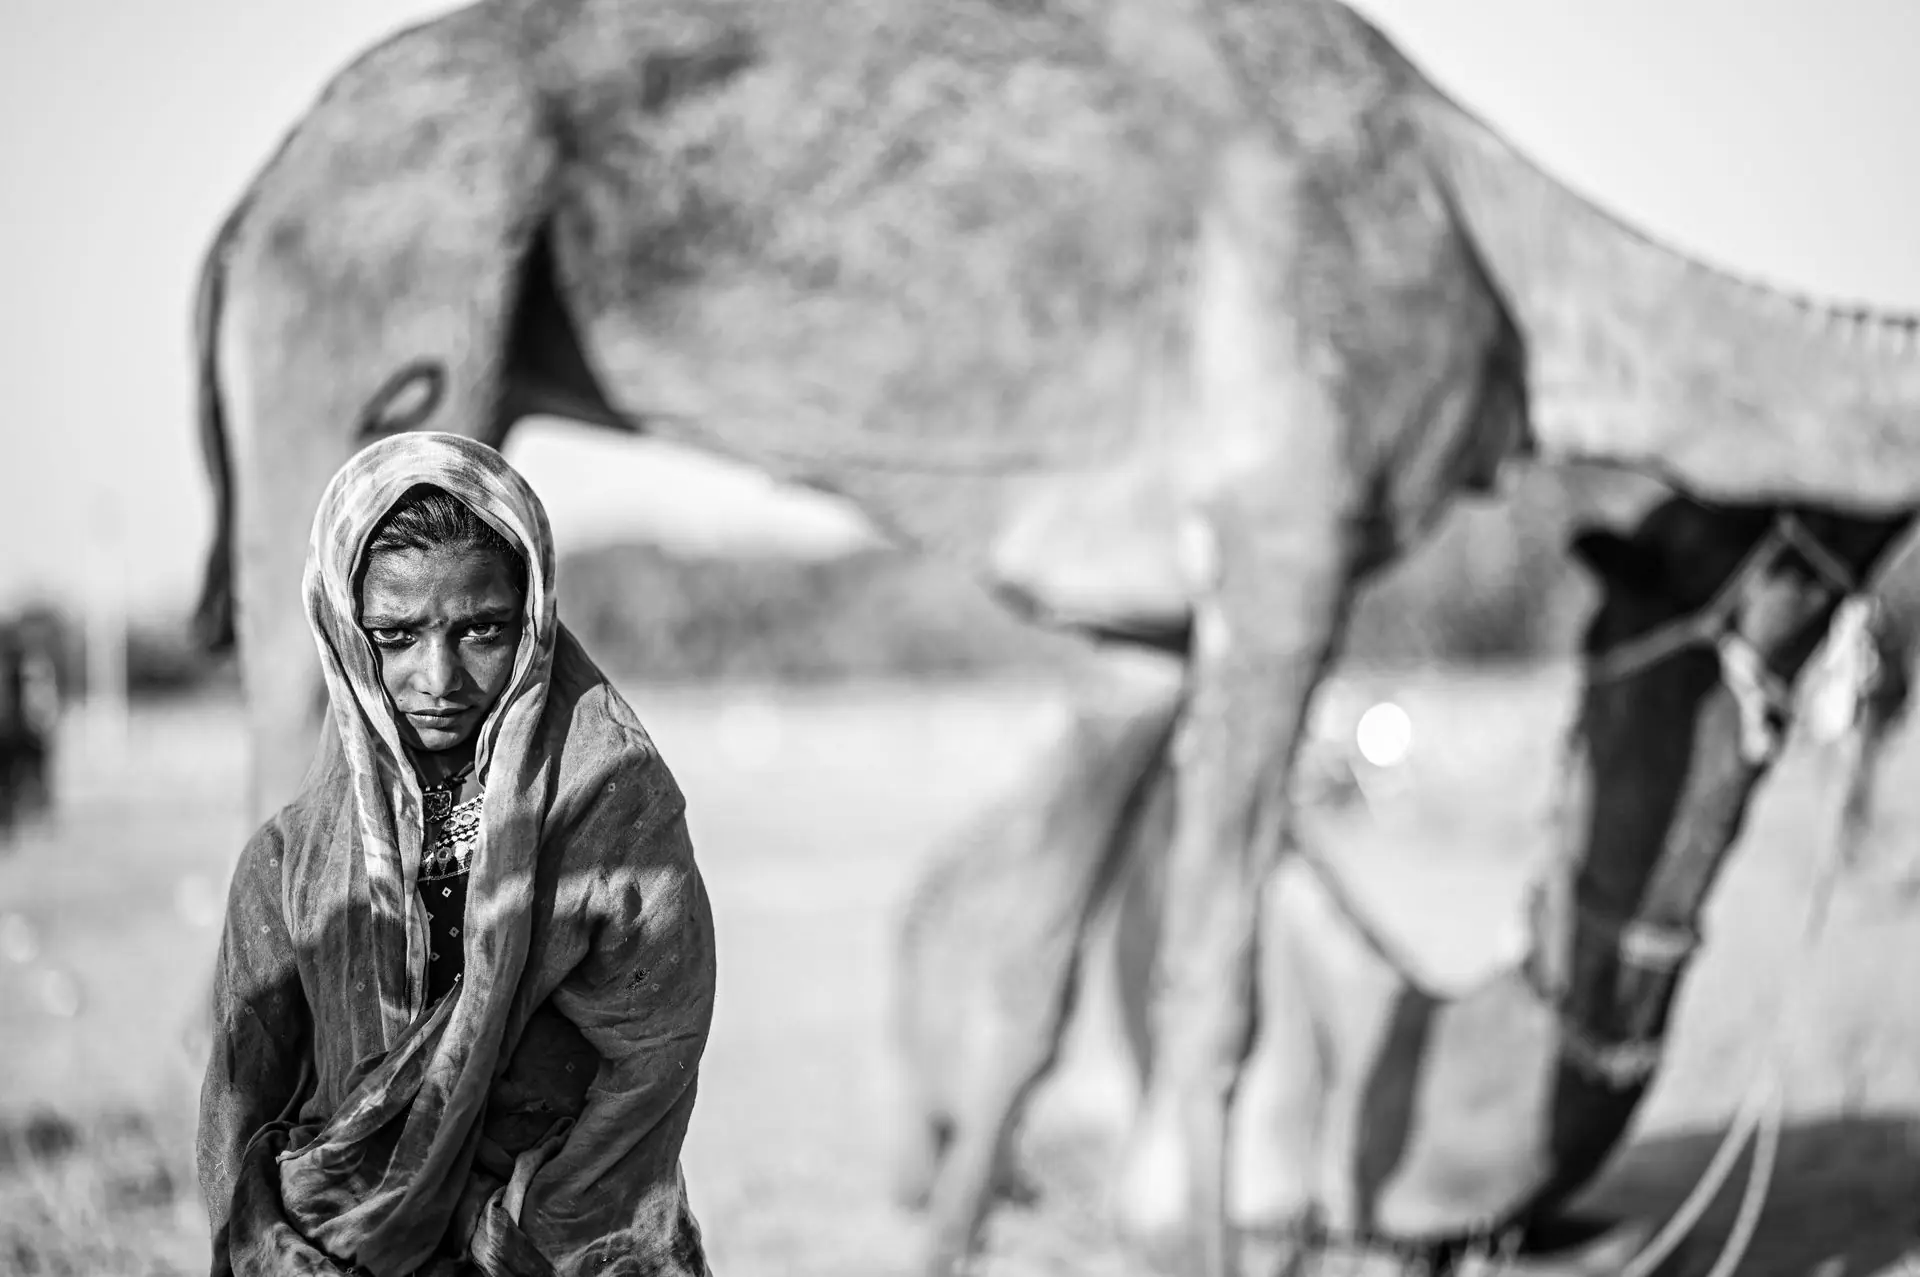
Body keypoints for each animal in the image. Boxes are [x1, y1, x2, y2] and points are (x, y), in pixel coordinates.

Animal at [190, 1, 1920, 1270]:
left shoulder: (1134, 627)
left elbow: (1035, 971)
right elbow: (1212, 989)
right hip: (375, 332)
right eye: (1774, 585)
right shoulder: (1288, 544)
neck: (1506, 256)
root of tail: (257, 195)